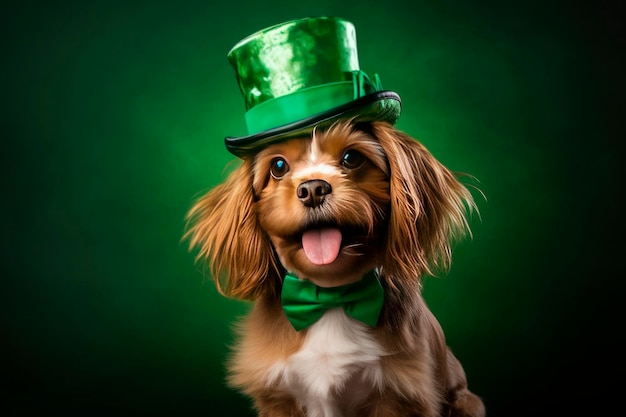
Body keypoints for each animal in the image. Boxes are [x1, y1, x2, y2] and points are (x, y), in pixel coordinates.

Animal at [183, 118, 486, 416]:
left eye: (351, 158)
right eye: (278, 166)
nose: (312, 189)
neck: (330, 296)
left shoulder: (399, 397)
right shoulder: (279, 397)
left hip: (468, 403)